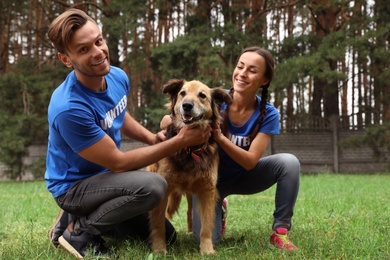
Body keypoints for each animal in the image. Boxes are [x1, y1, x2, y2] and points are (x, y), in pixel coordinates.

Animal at [148, 78, 230, 254]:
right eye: (182, 93)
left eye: (202, 95)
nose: (186, 105)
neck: (191, 149)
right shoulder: (165, 189)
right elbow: (158, 223)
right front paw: (159, 249)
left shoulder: (207, 190)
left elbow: (206, 226)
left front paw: (207, 250)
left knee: (190, 212)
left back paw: (192, 231)